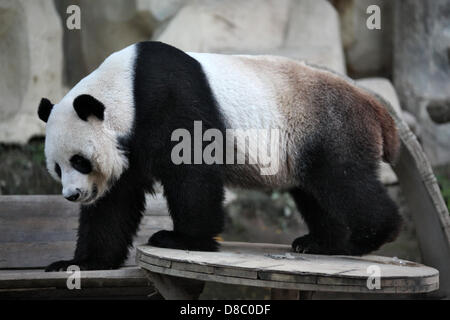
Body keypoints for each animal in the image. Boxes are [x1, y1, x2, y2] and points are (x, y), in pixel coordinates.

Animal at [38, 39, 400, 270]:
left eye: (80, 161)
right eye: (57, 167)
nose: (73, 195)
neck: (125, 87)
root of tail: (374, 105)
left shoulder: (168, 99)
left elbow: (191, 172)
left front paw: (180, 238)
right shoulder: (129, 145)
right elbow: (114, 204)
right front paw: (80, 263)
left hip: (328, 125)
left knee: (343, 180)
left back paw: (369, 237)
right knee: (316, 192)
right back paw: (321, 243)